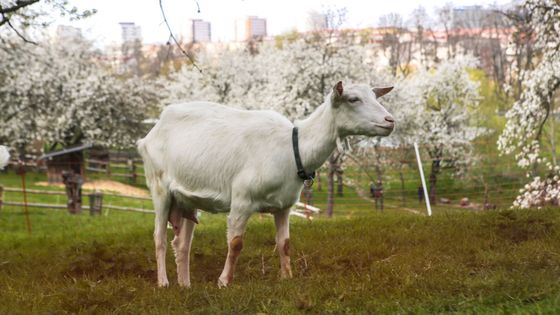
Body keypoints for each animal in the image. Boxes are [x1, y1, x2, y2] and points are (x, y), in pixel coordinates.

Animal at [138, 82, 396, 288]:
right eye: (353, 99)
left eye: (375, 97)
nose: (390, 121)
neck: (293, 148)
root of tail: (149, 135)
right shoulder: (241, 200)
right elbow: (236, 243)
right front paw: (224, 282)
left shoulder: (284, 206)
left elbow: (285, 244)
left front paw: (287, 277)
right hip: (159, 187)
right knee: (159, 237)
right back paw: (164, 283)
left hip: (187, 199)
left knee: (182, 244)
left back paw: (185, 285)